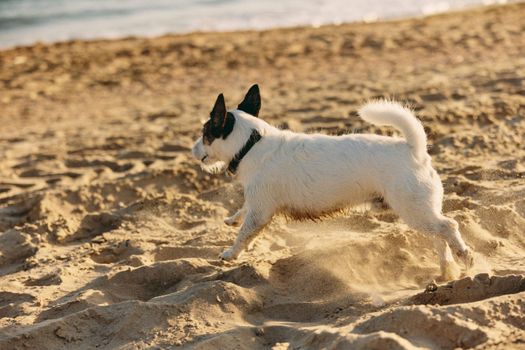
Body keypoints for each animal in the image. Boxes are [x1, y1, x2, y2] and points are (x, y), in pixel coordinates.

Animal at [192, 85, 474, 274]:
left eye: (205, 133)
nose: (192, 149)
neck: (251, 144)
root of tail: (414, 149)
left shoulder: (260, 213)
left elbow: (244, 234)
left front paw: (230, 253)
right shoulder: (257, 203)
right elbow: (243, 209)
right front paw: (232, 218)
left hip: (413, 209)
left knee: (448, 227)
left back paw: (464, 256)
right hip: (423, 209)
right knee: (439, 236)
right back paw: (447, 269)